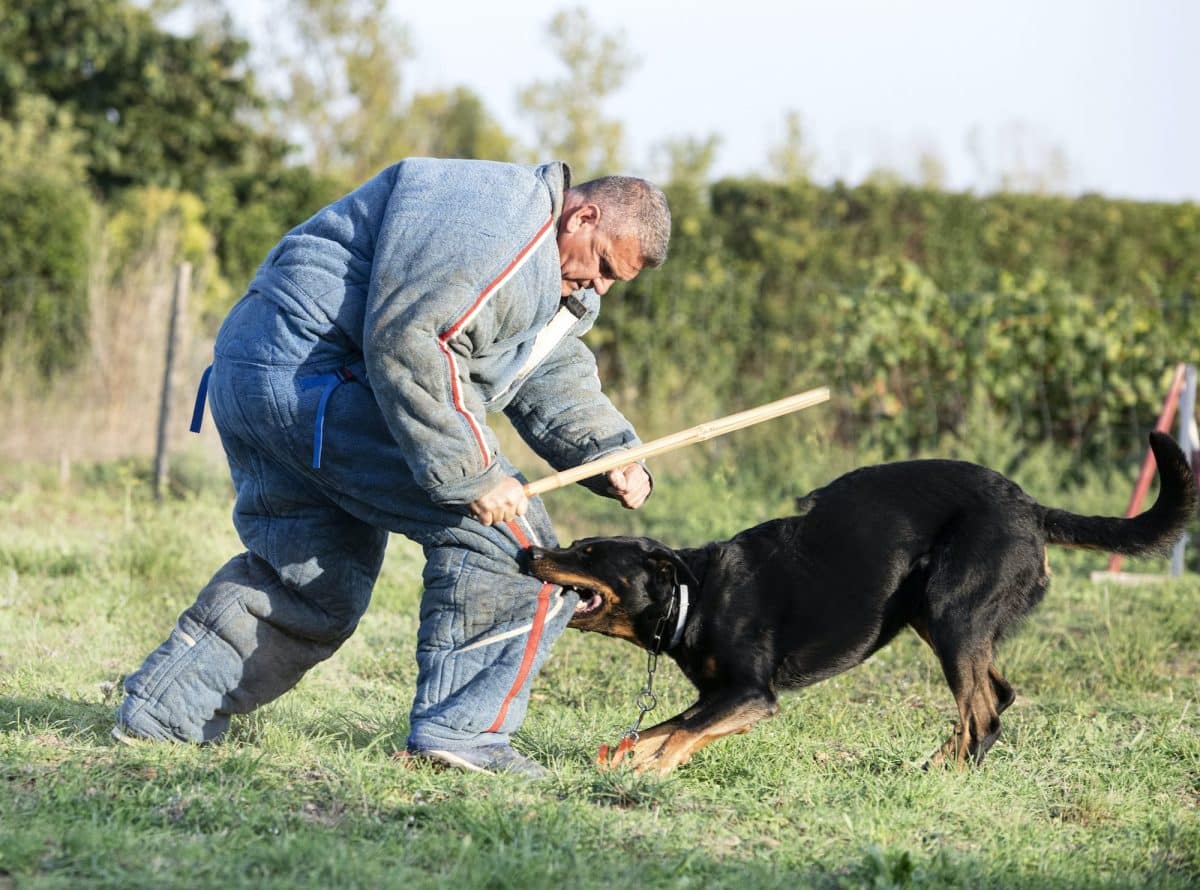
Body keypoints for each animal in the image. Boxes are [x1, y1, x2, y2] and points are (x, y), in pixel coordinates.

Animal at [530, 431, 1195, 772]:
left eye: (589, 552)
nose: (532, 553)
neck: (692, 596)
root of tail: (1032, 508)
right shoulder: (723, 697)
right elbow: (665, 728)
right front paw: (624, 759)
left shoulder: (751, 694)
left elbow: (677, 736)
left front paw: (647, 774)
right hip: (935, 616)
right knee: (995, 698)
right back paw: (937, 765)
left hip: (952, 612)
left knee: (982, 712)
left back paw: (944, 776)